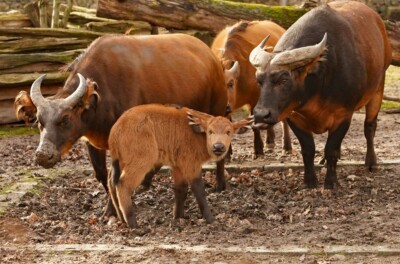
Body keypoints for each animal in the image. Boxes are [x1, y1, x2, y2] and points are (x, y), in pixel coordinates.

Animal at [14, 33, 228, 216]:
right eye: (39, 121)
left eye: (65, 119)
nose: (43, 155)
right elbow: (102, 174)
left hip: (217, 111)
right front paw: (111, 210)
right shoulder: (92, 141)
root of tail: (213, 58)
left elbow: (114, 176)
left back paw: (220, 185)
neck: (103, 96)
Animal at [252, 1, 392, 189]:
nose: (261, 115)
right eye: (259, 80)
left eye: (283, 80)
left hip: (378, 87)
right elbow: (308, 149)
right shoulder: (293, 116)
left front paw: (331, 182)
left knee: (369, 126)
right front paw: (310, 181)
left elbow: (331, 148)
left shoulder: (343, 115)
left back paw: (371, 162)